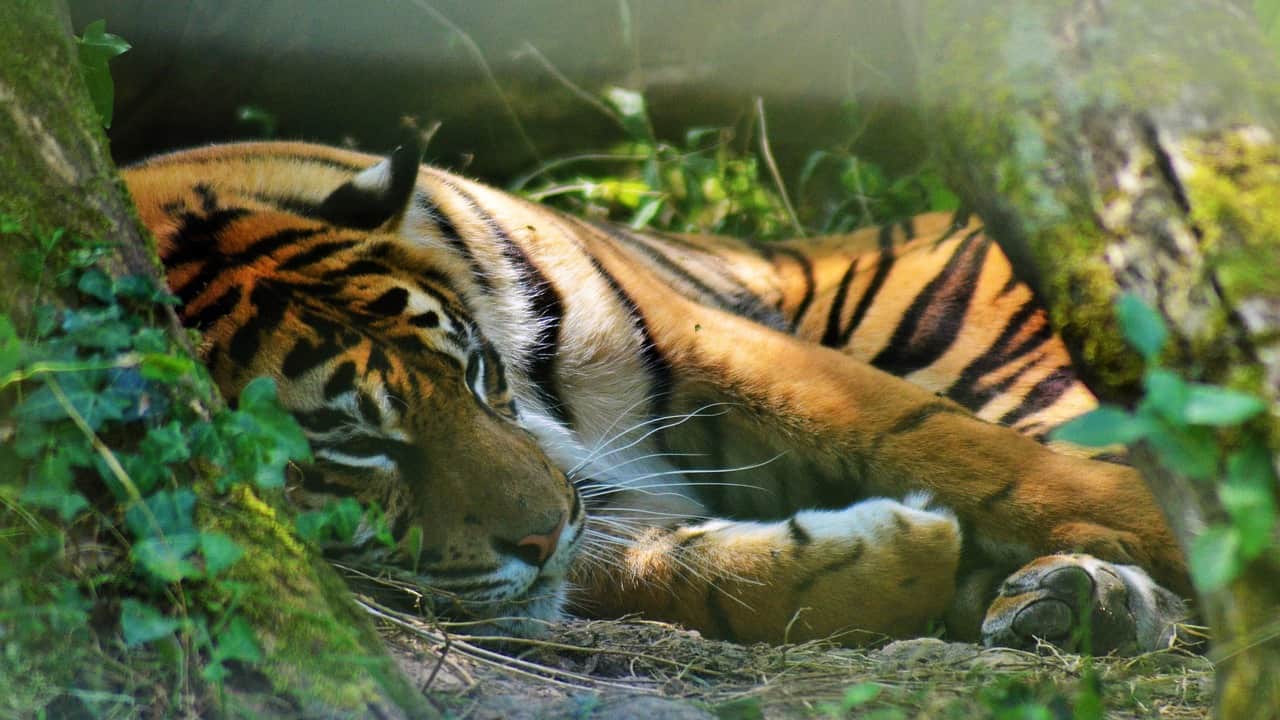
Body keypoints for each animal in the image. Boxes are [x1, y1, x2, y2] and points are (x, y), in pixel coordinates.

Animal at [124, 137, 1192, 653]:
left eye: (476, 373)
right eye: (355, 449)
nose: (547, 527)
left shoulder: (697, 338)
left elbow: (938, 440)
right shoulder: (586, 519)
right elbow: (690, 574)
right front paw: (895, 560)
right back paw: (1069, 602)